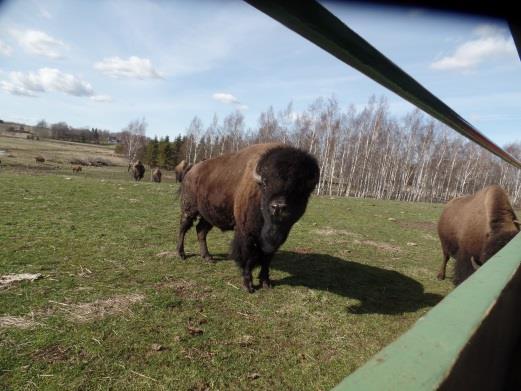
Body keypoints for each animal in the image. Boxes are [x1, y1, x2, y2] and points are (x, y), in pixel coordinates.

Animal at [177, 144, 318, 294]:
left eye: (299, 187)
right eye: (265, 183)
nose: (278, 206)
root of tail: (191, 170)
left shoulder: (274, 240)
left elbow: (267, 259)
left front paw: (266, 282)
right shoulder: (246, 234)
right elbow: (247, 257)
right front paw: (248, 286)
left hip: (208, 216)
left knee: (201, 231)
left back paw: (208, 258)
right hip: (189, 209)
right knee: (183, 228)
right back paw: (181, 254)